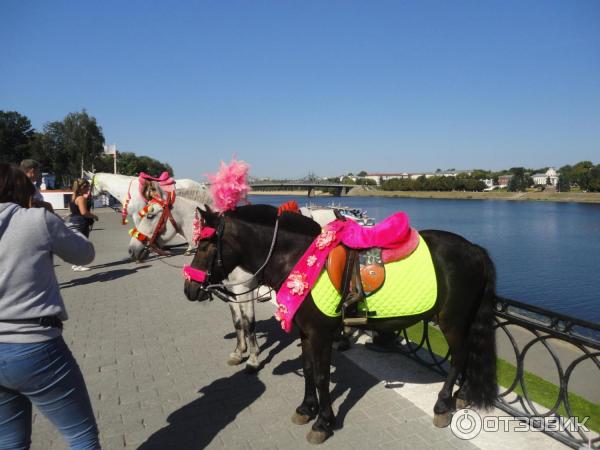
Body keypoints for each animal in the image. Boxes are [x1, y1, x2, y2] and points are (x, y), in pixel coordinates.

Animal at [185, 206, 500, 444]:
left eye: (206, 245)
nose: (189, 289)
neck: (299, 258)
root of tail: (474, 249)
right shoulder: (306, 331)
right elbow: (308, 370)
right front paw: (306, 408)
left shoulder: (321, 334)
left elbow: (322, 376)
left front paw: (323, 422)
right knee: (467, 355)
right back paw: (463, 395)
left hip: (452, 321)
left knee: (459, 357)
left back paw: (443, 404)